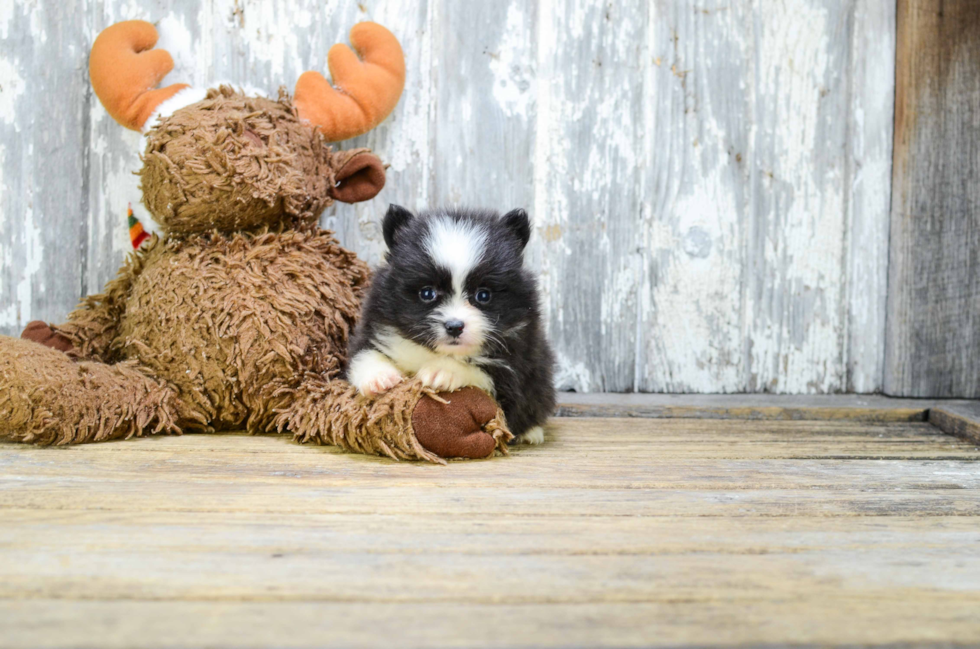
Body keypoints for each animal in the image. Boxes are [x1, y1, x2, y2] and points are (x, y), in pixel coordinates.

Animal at [348, 205, 556, 442]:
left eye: (483, 295)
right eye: (427, 293)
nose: (455, 326)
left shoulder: (514, 370)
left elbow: (479, 372)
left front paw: (444, 371)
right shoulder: (374, 327)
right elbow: (364, 354)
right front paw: (379, 377)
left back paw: (532, 433)